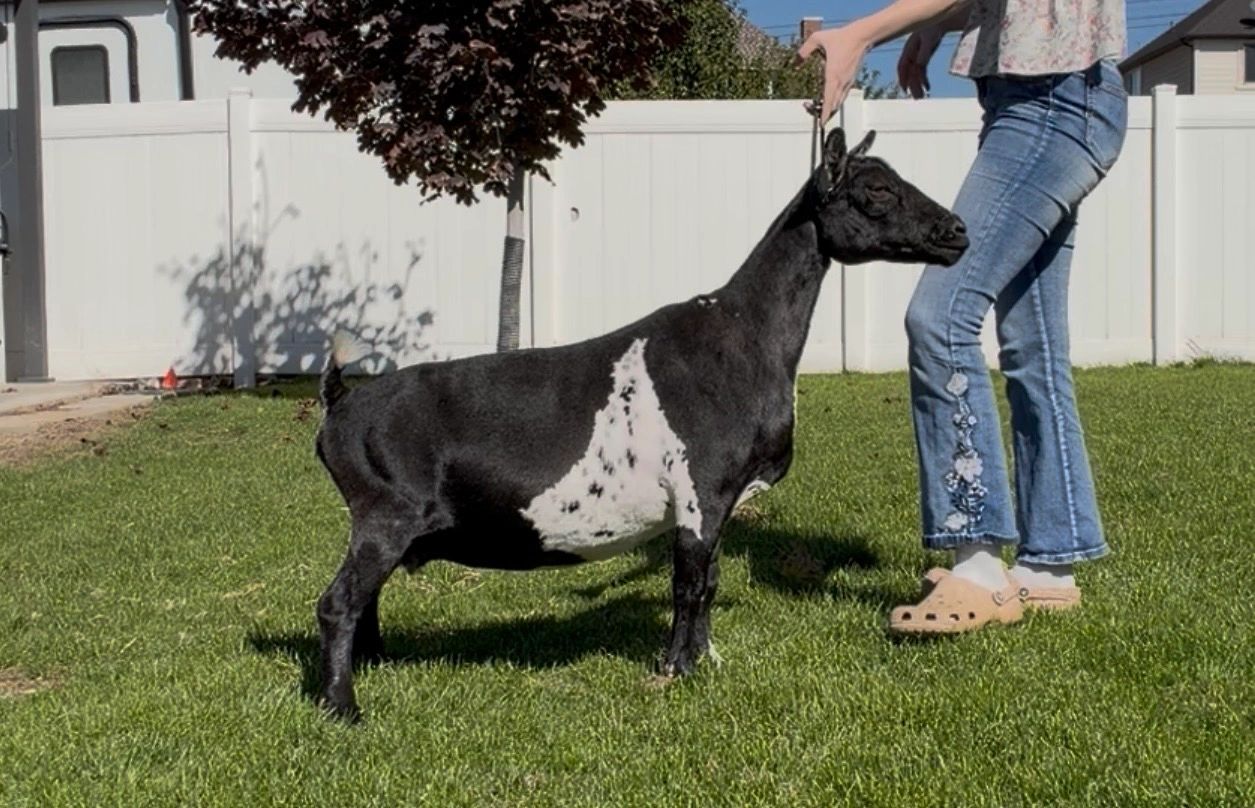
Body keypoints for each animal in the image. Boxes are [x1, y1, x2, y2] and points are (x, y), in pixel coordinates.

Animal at [313, 128, 968, 721]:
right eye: (877, 190)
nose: (957, 231)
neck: (741, 336)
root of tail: (340, 406)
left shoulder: (720, 502)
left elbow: (710, 581)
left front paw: (707, 660)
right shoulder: (701, 492)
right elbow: (687, 583)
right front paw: (673, 669)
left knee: (364, 597)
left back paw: (375, 664)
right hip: (387, 513)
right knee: (338, 602)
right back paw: (342, 705)